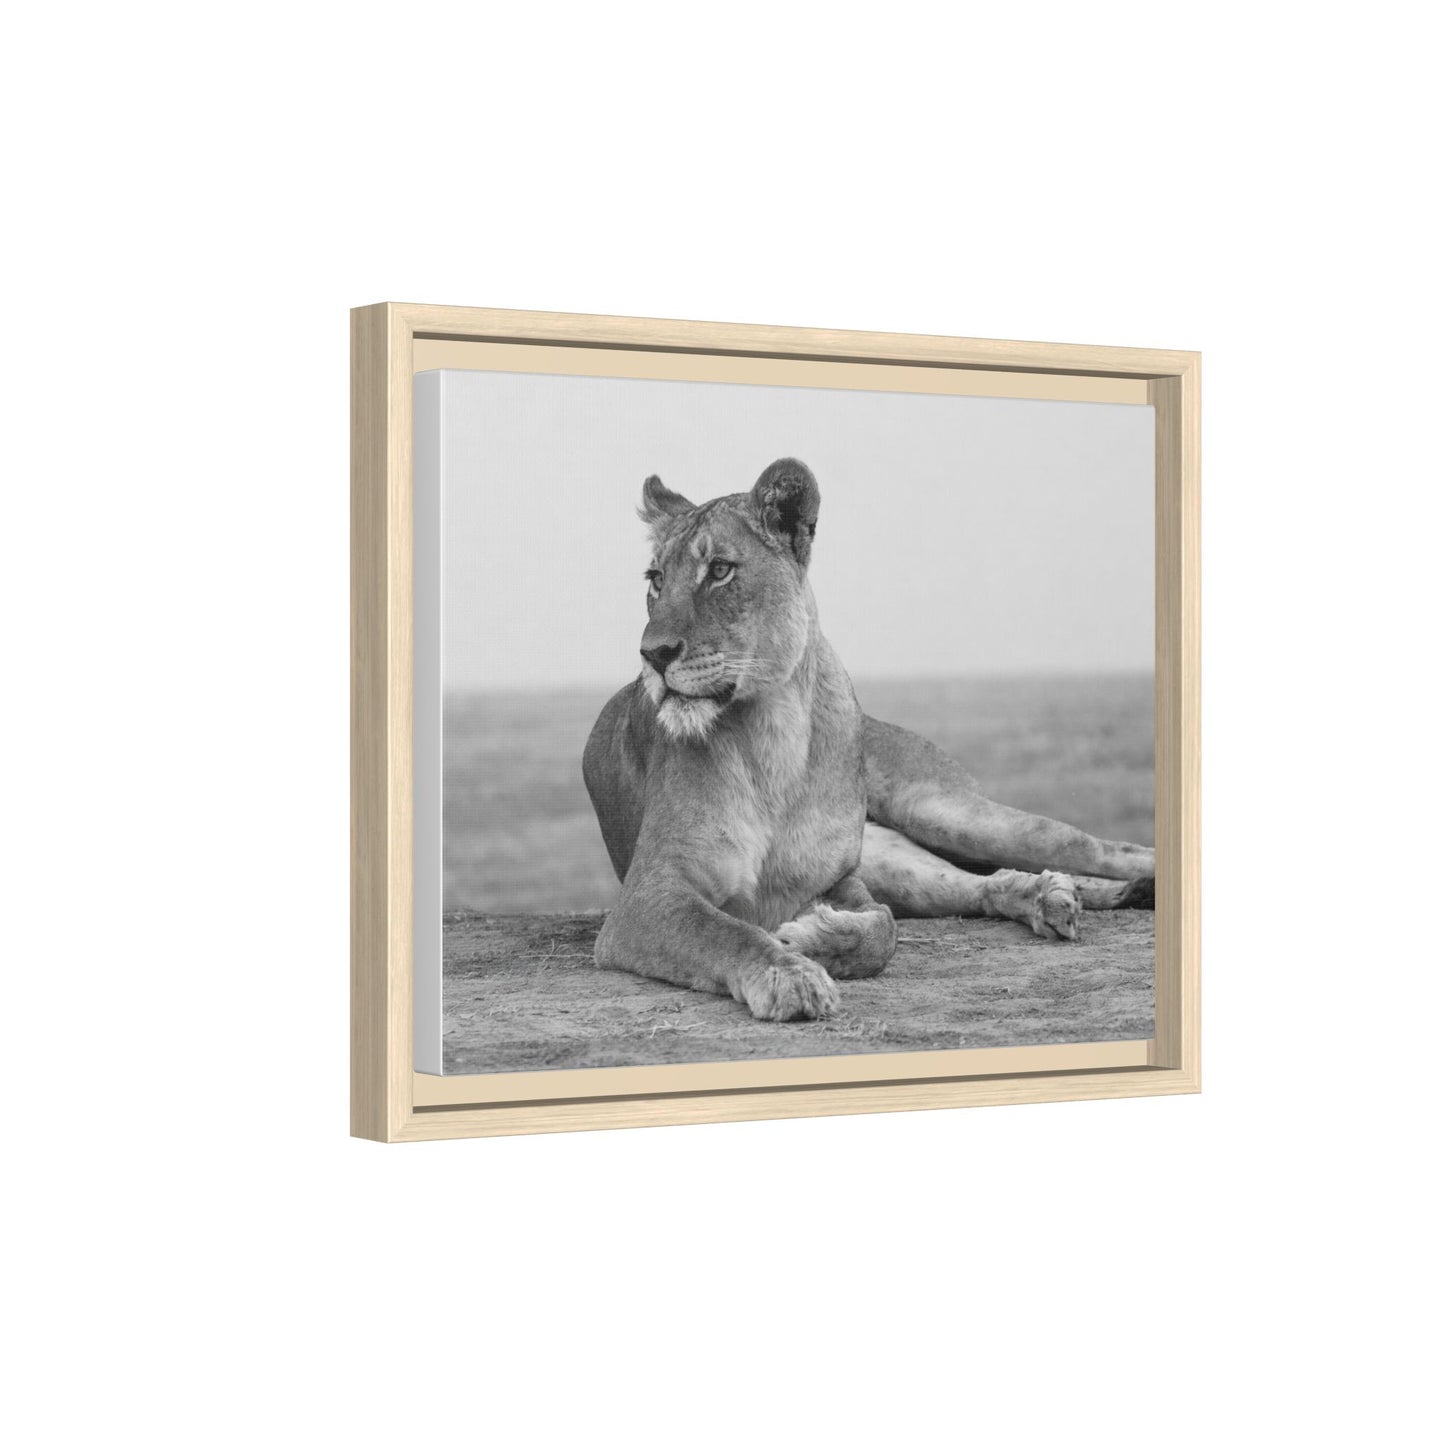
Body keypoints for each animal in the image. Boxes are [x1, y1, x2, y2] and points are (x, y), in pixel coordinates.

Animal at [583, 458, 1155, 1022]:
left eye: (720, 570)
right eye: (656, 580)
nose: (653, 654)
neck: (773, 732)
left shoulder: (838, 880)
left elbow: (883, 932)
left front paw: (810, 938)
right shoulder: (648, 896)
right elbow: (726, 931)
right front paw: (789, 973)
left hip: (939, 810)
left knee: (1102, 848)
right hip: (896, 857)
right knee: (978, 885)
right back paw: (1048, 895)